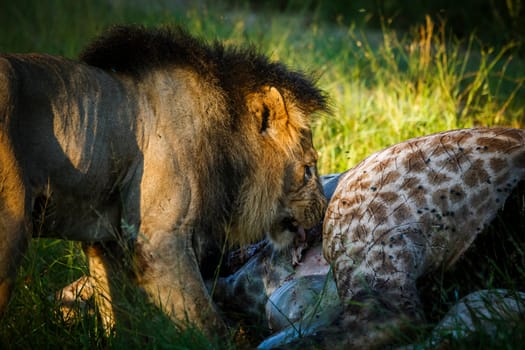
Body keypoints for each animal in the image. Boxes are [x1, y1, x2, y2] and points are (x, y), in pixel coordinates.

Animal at [0, 24, 328, 336]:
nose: (324, 209)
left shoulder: (107, 241)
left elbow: (119, 315)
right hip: (12, 229)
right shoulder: (160, 239)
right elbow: (206, 320)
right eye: (309, 168)